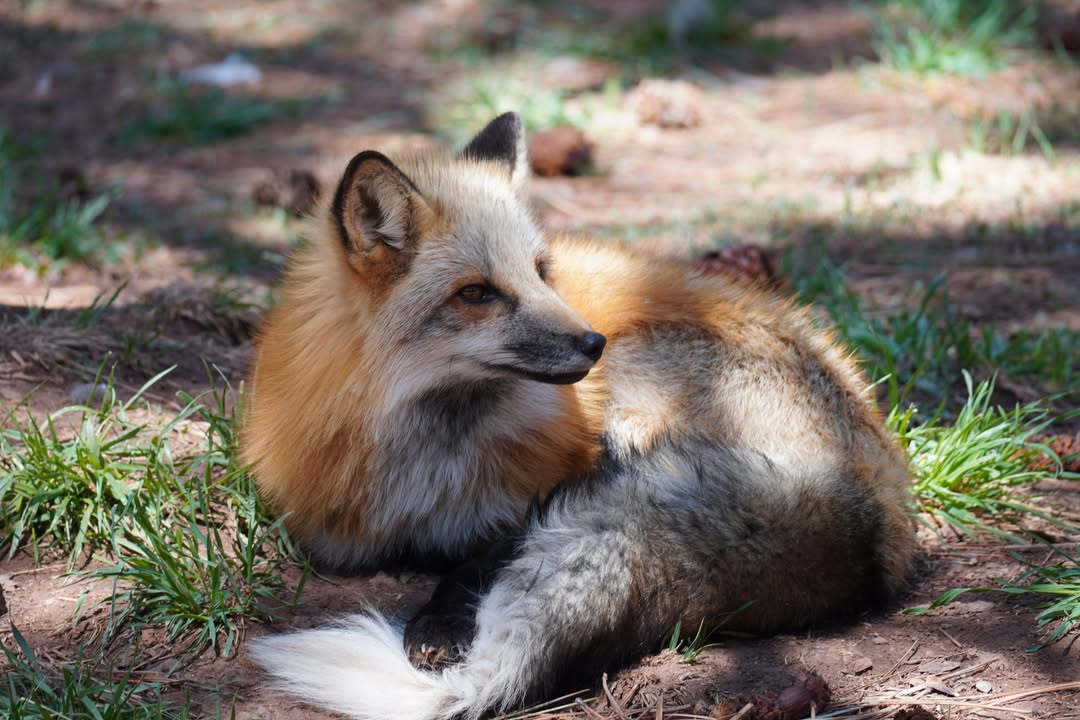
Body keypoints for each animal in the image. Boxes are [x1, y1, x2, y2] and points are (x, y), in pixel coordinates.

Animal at [246, 113, 916, 720]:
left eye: (542, 272)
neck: (428, 465)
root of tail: (879, 495)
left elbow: (489, 552)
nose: (593, 343)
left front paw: (441, 623)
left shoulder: (553, 485)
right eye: (476, 293)